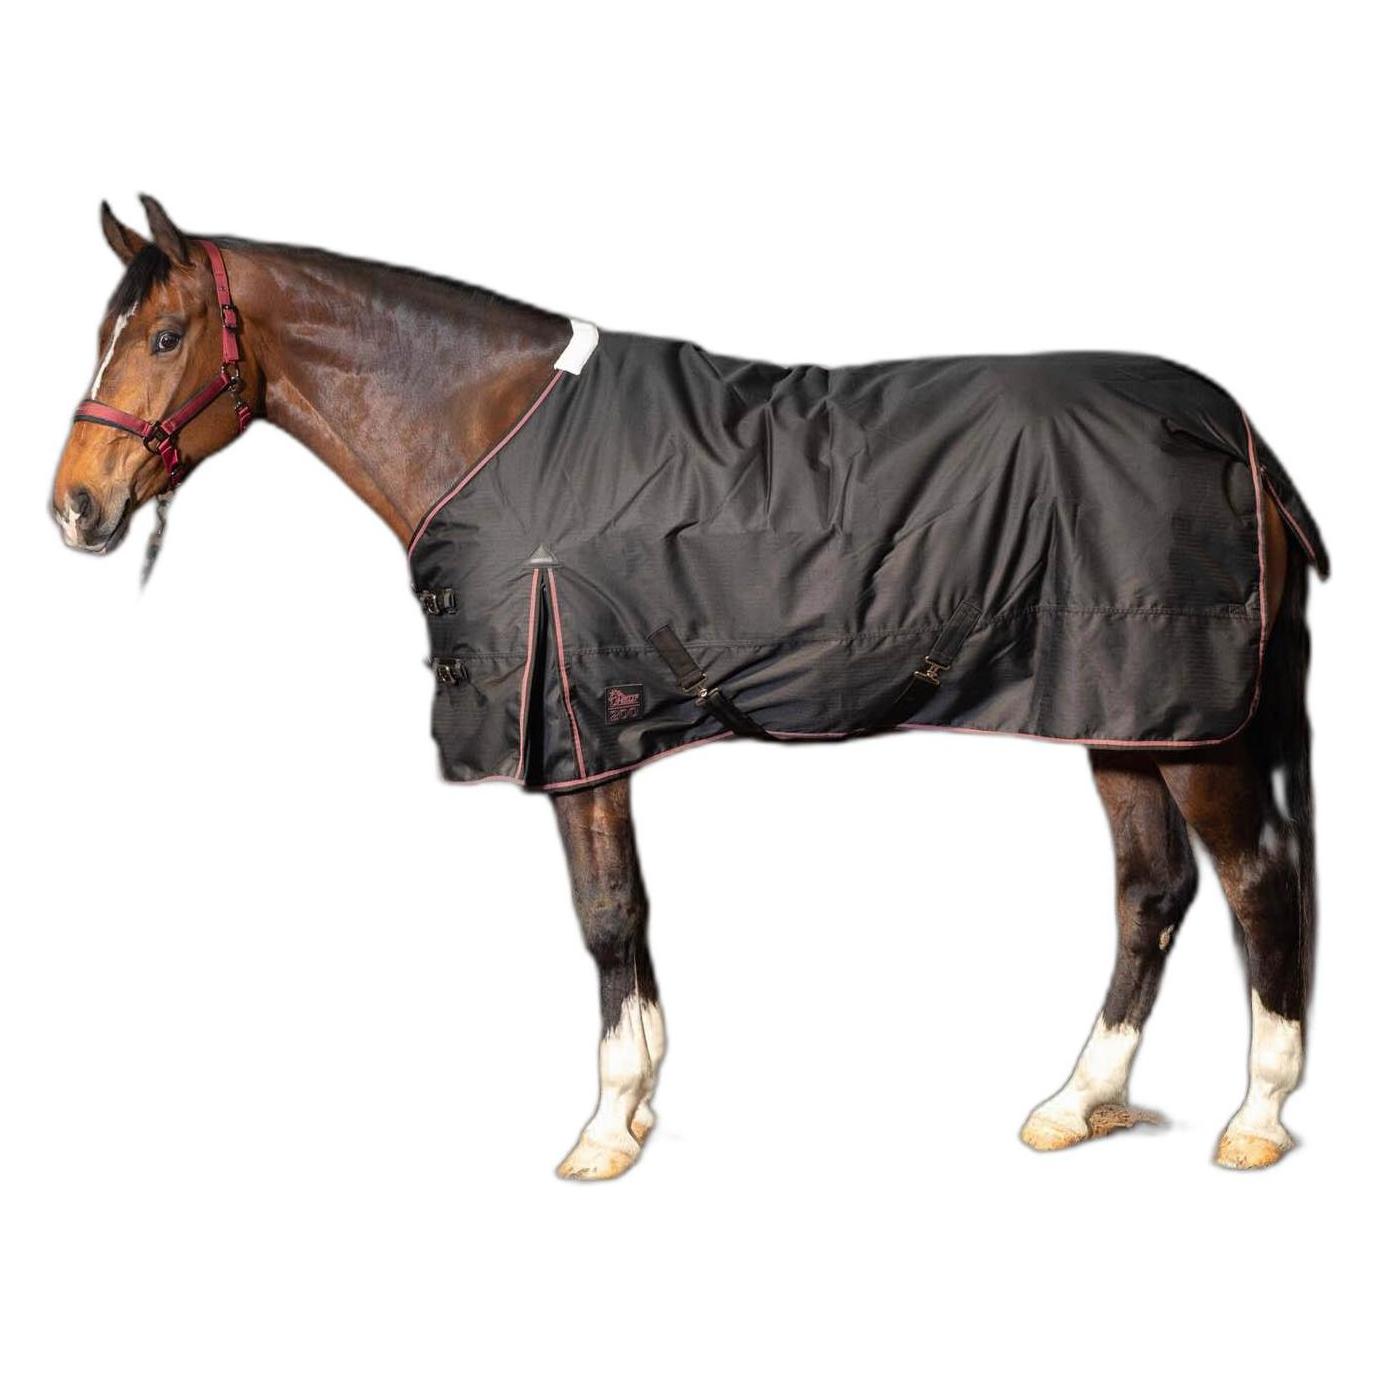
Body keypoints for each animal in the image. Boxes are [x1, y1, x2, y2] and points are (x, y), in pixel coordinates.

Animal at [51, 196, 1326, 1179]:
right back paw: (1074, 1102)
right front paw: (641, 1105)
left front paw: (605, 1125)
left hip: (1197, 728)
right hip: (1121, 712)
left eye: (163, 335)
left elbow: (607, 914)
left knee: (1256, 882)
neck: (494, 431)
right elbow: (630, 916)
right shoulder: (598, 728)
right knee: (1151, 892)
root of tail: (1236, 433)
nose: (75, 506)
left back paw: (1256, 1118)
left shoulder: (575, 728)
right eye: (112, 331)